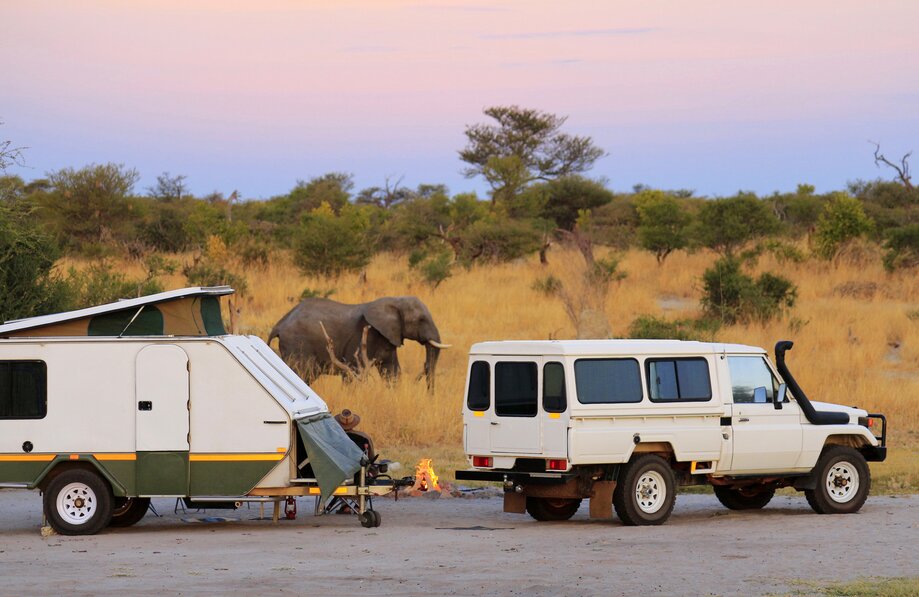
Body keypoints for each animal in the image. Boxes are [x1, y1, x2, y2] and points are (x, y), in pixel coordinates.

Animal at [270, 296, 450, 388]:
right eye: (421, 320)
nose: (430, 397)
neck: (394, 301)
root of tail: (279, 324)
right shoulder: (362, 338)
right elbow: (354, 371)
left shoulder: (388, 338)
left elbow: (392, 371)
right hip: (297, 345)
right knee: (301, 373)